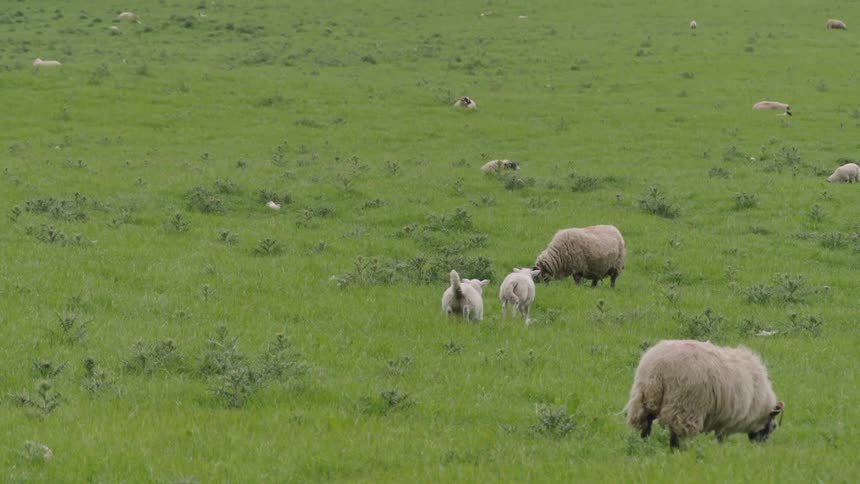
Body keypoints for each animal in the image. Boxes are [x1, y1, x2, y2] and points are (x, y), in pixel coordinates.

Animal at [625, 340, 785, 450]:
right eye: (773, 426)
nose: (760, 446)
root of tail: (658, 368)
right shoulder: (728, 417)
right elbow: (721, 437)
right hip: (685, 406)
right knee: (678, 436)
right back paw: (680, 453)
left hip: (643, 399)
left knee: (645, 427)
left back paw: (643, 445)